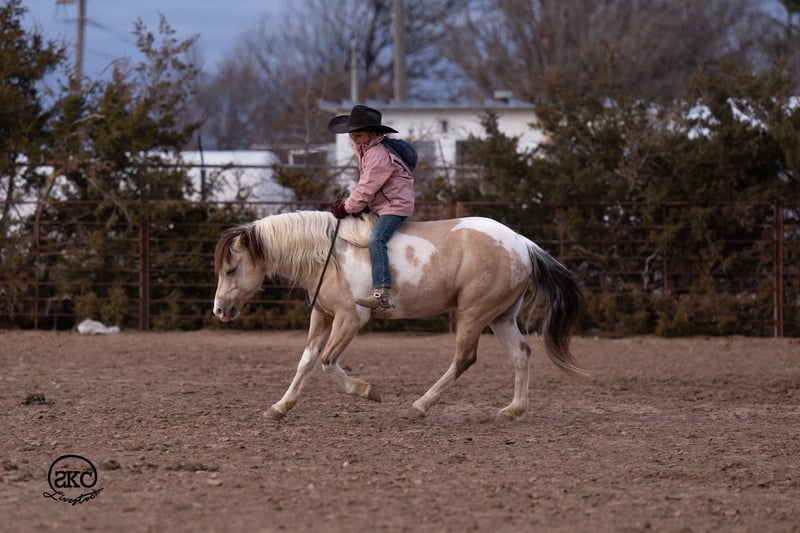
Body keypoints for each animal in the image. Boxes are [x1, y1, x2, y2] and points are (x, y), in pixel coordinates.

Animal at [213, 210, 587, 422]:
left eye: (231, 270)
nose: (219, 310)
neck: (329, 255)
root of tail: (523, 243)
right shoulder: (322, 316)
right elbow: (306, 363)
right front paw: (279, 407)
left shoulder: (351, 319)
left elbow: (329, 362)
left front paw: (368, 391)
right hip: (501, 317)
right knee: (521, 354)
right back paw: (513, 411)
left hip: (474, 313)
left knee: (464, 358)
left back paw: (420, 406)